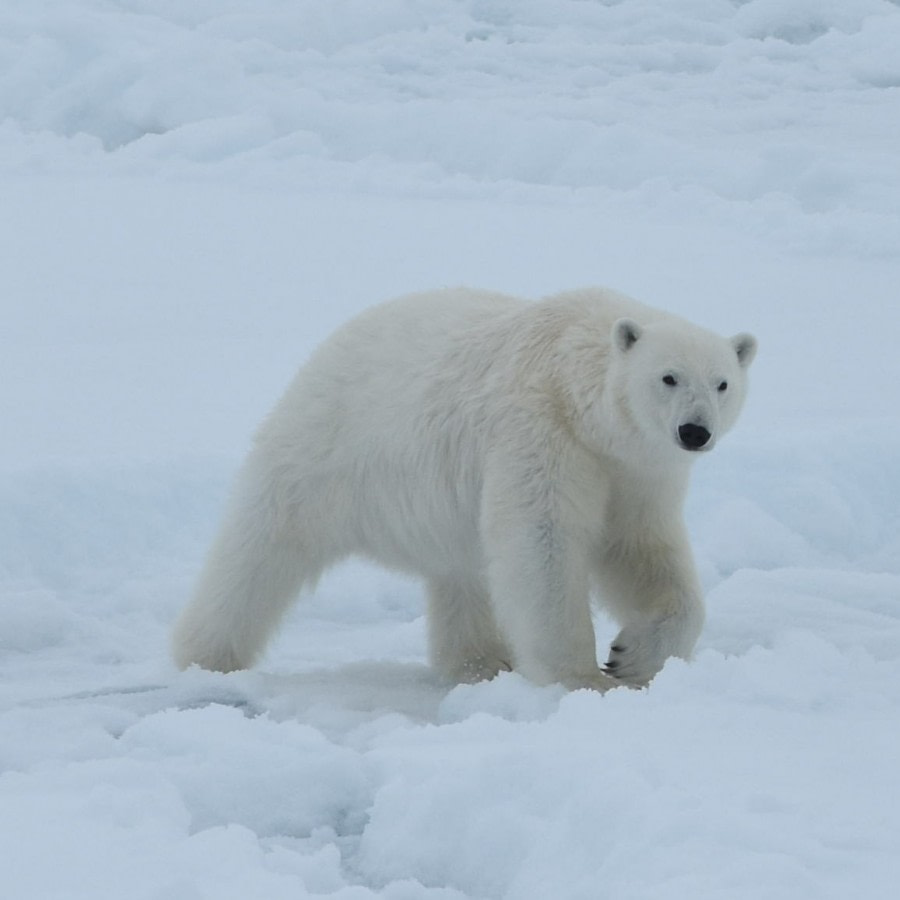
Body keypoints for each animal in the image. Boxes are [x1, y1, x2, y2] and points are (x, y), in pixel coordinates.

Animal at [172, 288, 756, 688]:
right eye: (668, 377)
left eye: (722, 383)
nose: (694, 431)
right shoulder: (539, 433)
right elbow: (543, 546)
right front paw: (582, 678)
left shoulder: (635, 468)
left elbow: (639, 550)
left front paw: (632, 657)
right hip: (323, 448)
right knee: (259, 552)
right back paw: (206, 657)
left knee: (461, 574)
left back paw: (480, 663)